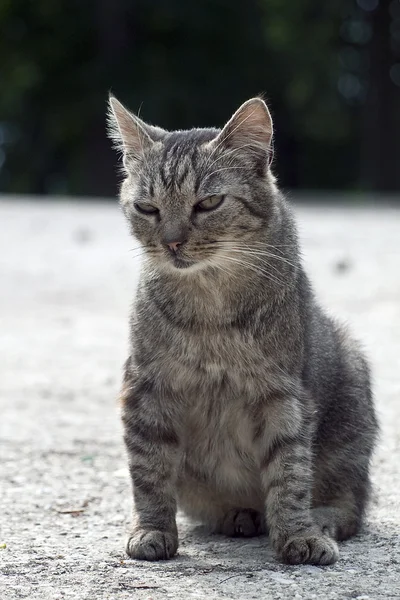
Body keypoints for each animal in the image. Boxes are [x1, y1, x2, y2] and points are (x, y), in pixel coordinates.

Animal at [107, 92, 378, 564]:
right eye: (147, 208)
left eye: (207, 203)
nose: (172, 242)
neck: (210, 302)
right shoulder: (146, 388)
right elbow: (149, 471)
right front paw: (151, 530)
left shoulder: (283, 394)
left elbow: (290, 473)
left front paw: (298, 535)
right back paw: (239, 515)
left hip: (352, 398)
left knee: (350, 504)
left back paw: (319, 521)